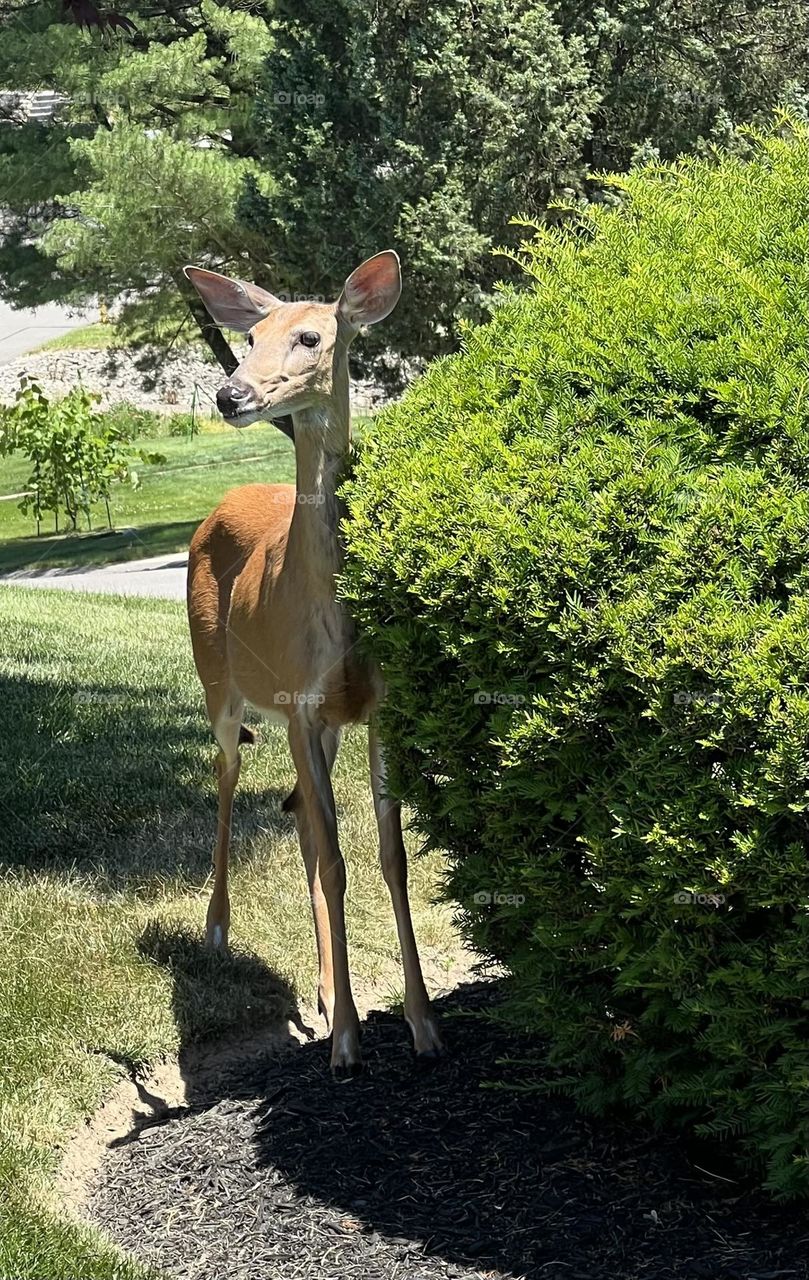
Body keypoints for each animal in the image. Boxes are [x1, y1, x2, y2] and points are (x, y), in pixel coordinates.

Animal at [183, 251, 443, 1078]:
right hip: (217, 680)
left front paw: (422, 1025)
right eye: (248, 337)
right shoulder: (297, 701)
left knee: (298, 816)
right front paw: (351, 1043)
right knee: (227, 774)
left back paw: (327, 994)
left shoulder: (376, 704)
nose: (231, 393)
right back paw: (218, 928)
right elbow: (336, 862)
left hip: (315, 726)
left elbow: (389, 855)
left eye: (309, 337)